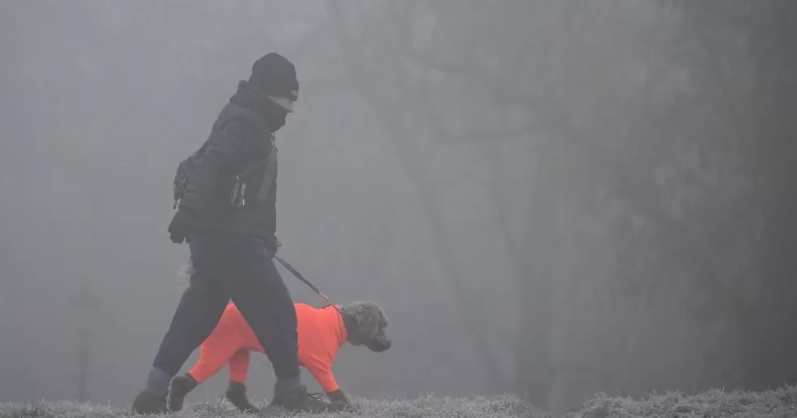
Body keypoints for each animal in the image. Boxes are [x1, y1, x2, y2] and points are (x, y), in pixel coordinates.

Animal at [169, 260, 390, 414]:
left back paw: (251, 409)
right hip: (220, 349)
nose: (389, 343)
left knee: (235, 388)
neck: (339, 322)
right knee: (185, 379)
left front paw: (281, 404)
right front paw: (346, 407)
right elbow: (336, 390)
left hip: (239, 350)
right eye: (382, 326)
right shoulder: (321, 364)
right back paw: (175, 405)